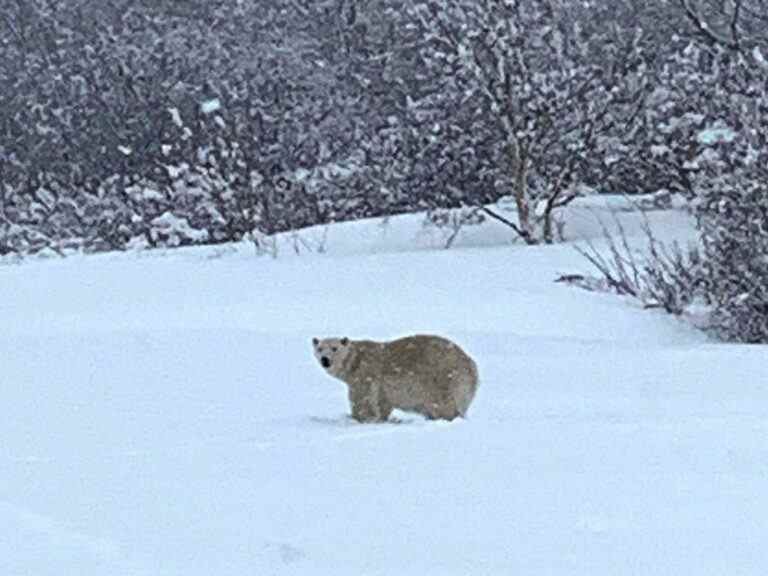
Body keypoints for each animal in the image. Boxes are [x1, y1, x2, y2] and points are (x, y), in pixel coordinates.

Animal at [314, 332, 480, 424]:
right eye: (320, 348)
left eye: (334, 348)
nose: (325, 360)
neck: (355, 361)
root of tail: (471, 365)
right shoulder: (381, 387)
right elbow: (382, 403)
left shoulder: (365, 373)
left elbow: (363, 399)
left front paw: (359, 417)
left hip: (442, 378)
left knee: (443, 404)